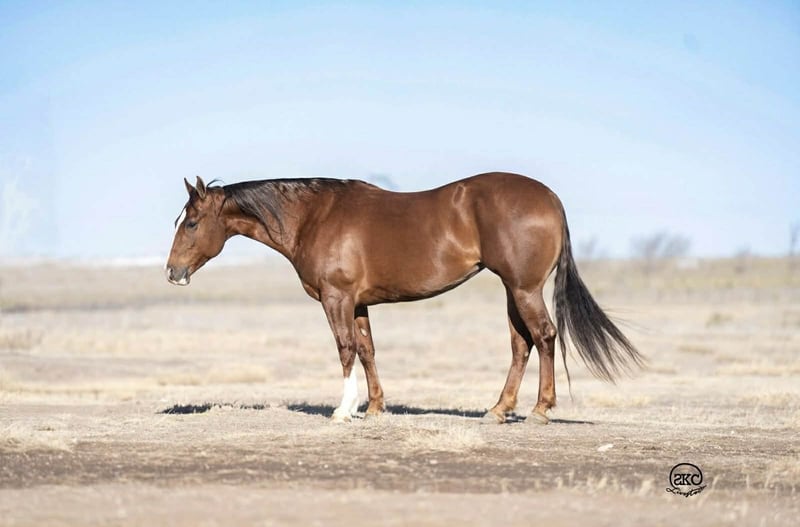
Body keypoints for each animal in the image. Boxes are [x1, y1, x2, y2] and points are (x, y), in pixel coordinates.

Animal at [165, 172, 643, 424]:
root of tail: (550, 197)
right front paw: (375, 407)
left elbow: (344, 349)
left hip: (524, 289)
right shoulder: (359, 303)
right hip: (513, 290)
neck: (315, 217)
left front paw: (344, 410)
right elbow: (367, 350)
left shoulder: (336, 299)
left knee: (544, 337)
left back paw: (540, 410)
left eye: (191, 223)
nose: (172, 272)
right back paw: (498, 409)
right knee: (520, 345)